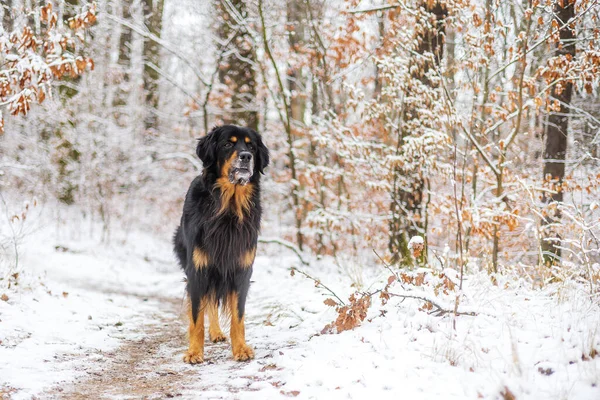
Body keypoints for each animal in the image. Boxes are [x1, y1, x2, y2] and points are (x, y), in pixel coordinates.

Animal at [171, 125, 270, 362]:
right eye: (227, 144)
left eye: (251, 146)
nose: (246, 156)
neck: (229, 208)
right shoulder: (198, 269)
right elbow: (196, 316)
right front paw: (194, 352)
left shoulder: (241, 269)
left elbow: (238, 316)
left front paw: (241, 348)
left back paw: (216, 332)